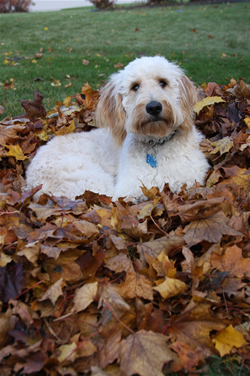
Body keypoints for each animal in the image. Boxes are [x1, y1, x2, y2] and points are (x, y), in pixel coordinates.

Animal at [25, 56, 209, 201]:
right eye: (135, 86)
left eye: (163, 82)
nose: (154, 107)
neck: (156, 144)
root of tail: (29, 181)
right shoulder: (128, 189)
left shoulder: (192, 179)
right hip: (91, 182)